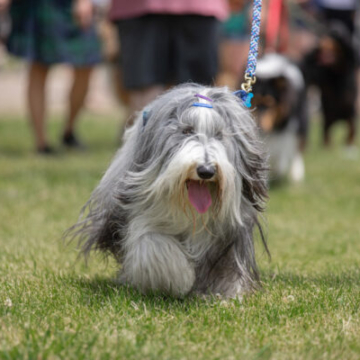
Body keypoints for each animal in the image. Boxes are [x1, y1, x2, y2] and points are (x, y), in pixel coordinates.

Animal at [67, 84, 268, 298]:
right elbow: (154, 244)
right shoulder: (141, 214)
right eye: (187, 130)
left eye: (219, 134)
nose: (206, 171)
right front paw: (180, 279)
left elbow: (229, 263)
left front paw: (226, 294)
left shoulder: (232, 230)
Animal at [253, 54, 306, 183]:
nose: (259, 126)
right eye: (254, 102)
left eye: (270, 103)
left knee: (297, 147)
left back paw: (296, 174)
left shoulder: (286, 128)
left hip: (300, 122)